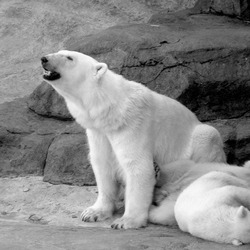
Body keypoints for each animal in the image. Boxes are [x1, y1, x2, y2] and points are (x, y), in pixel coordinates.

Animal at [41, 49, 227, 229]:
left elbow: (138, 166)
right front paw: (92, 213)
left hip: (201, 139)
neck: (110, 108)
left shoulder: (133, 123)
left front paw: (126, 221)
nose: (44, 59)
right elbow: (102, 165)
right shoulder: (99, 132)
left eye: (69, 57)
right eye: (58, 51)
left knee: (206, 138)